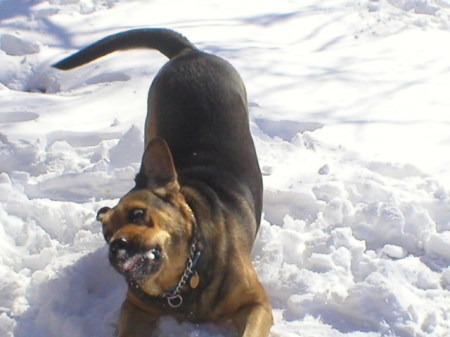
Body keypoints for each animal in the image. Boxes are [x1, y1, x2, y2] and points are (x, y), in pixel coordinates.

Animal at [52, 28, 270, 336]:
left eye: (138, 213)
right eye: (106, 233)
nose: (116, 247)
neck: (184, 278)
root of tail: (190, 53)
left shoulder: (256, 303)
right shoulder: (136, 307)